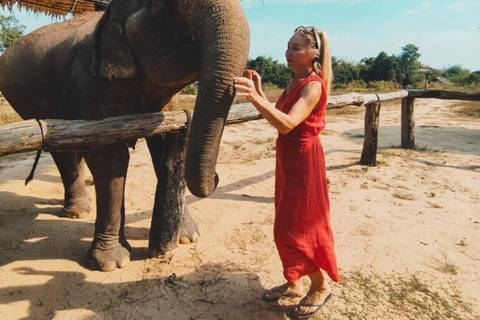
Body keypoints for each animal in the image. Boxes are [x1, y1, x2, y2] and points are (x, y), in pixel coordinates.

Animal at [0, 0, 249, 272]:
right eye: (167, 6)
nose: (216, 177)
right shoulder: (87, 83)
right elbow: (110, 158)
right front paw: (110, 264)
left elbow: (164, 146)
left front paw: (189, 238)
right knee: (63, 151)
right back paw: (77, 212)